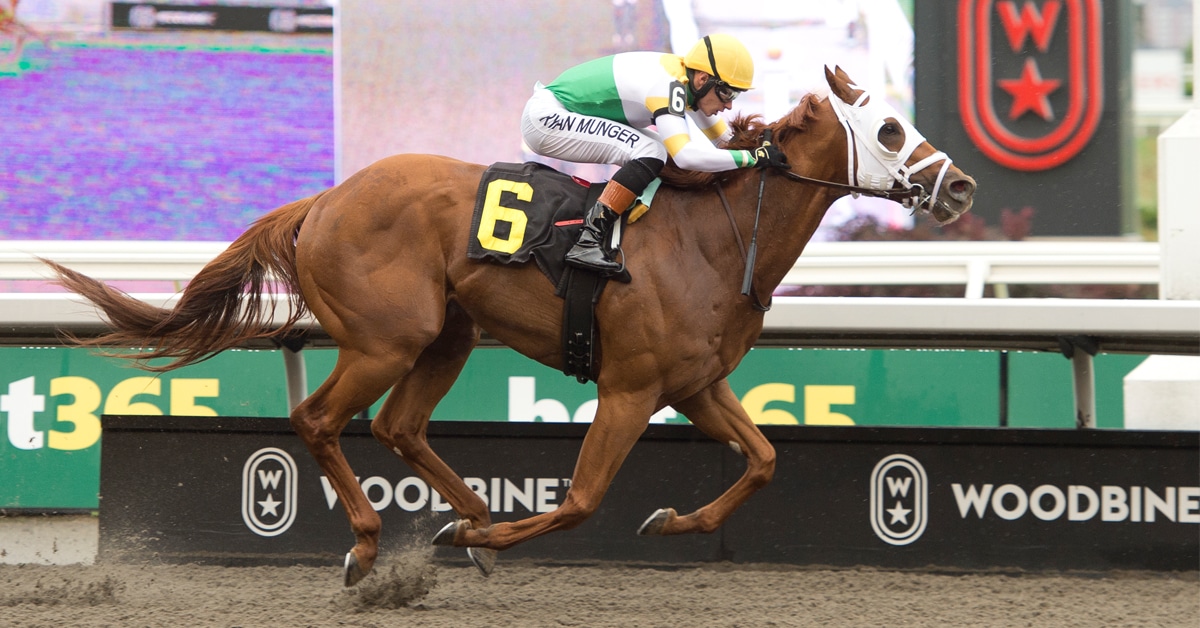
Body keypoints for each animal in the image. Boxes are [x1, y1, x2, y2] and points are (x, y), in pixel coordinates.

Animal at [45, 67, 975, 586]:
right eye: (889, 127)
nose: (961, 187)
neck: (716, 236)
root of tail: (325, 200)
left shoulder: (696, 384)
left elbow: (765, 461)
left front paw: (668, 522)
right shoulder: (630, 388)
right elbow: (581, 500)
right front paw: (499, 532)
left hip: (446, 335)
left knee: (399, 426)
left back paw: (464, 522)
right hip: (386, 337)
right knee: (319, 419)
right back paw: (370, 547)